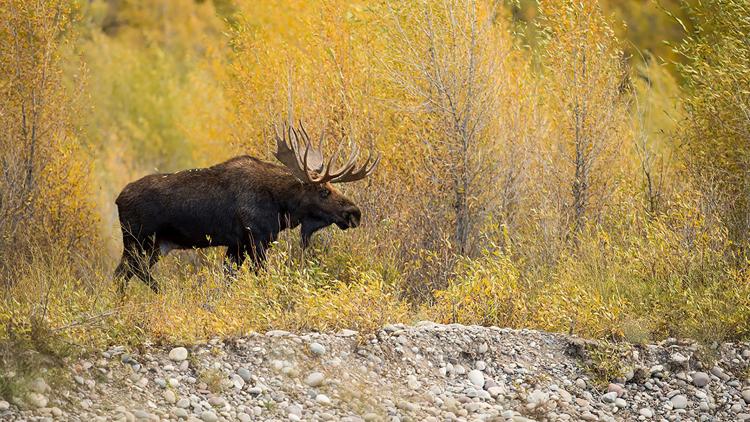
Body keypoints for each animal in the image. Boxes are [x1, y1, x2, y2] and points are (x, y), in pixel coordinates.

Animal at [115, 122, 382, 292]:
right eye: (324, 191)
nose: (354, 213)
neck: (281, 205)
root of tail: (118, 200)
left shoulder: (237, 245)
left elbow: (229, 278)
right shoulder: (258, 239)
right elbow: (260, 277)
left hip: (155, 246)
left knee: (123, 274)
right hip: (139, 242)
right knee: (128, 273)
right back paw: (161, 292)